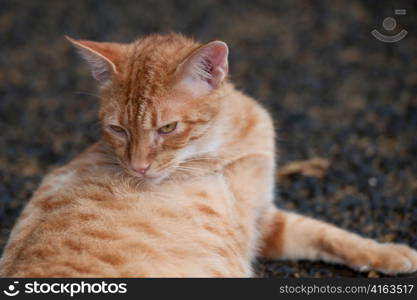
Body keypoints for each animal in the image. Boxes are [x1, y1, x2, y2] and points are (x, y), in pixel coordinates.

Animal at [0, 33, 416, 276]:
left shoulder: (263, 222)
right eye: (118, 130)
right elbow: (323, 234)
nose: (138, 167)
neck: (229, 143)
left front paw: (390, 254)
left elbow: (328, 235)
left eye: (167, 128)